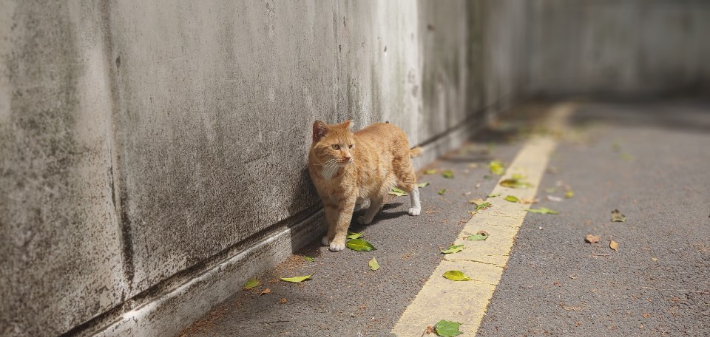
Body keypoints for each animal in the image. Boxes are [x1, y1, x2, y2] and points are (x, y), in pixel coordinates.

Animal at [308, 120, 420, 249]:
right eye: (335, 146)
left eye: (350, 146)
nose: (348, 157)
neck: (330, 172)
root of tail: (390, 124)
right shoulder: (327, 199)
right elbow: (331, 220)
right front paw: (330, 236)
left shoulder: (348, 198)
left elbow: (342, 221)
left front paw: (338, 242)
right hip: (376, 182)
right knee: (378, 201)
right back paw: (367, 218)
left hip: (402, 173)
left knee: (414, 187)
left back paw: (416, 208)